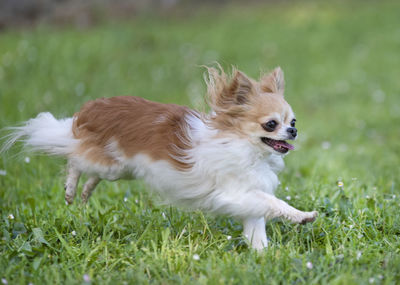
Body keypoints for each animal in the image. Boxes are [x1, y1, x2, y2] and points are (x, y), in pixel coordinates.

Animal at [0, 66, 318, 248]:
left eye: (293, 120)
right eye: (271, 124)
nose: (293, 130)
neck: (247, 148)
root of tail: (91, 109)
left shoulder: (248, 197)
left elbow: (258, 223)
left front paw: (261, 254)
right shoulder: (234, 193)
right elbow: (274, 204)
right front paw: (303, 216)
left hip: (119, 169)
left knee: (91, 172)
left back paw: (85, 190)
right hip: (106, 162)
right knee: (74, 160)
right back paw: (70, 188)